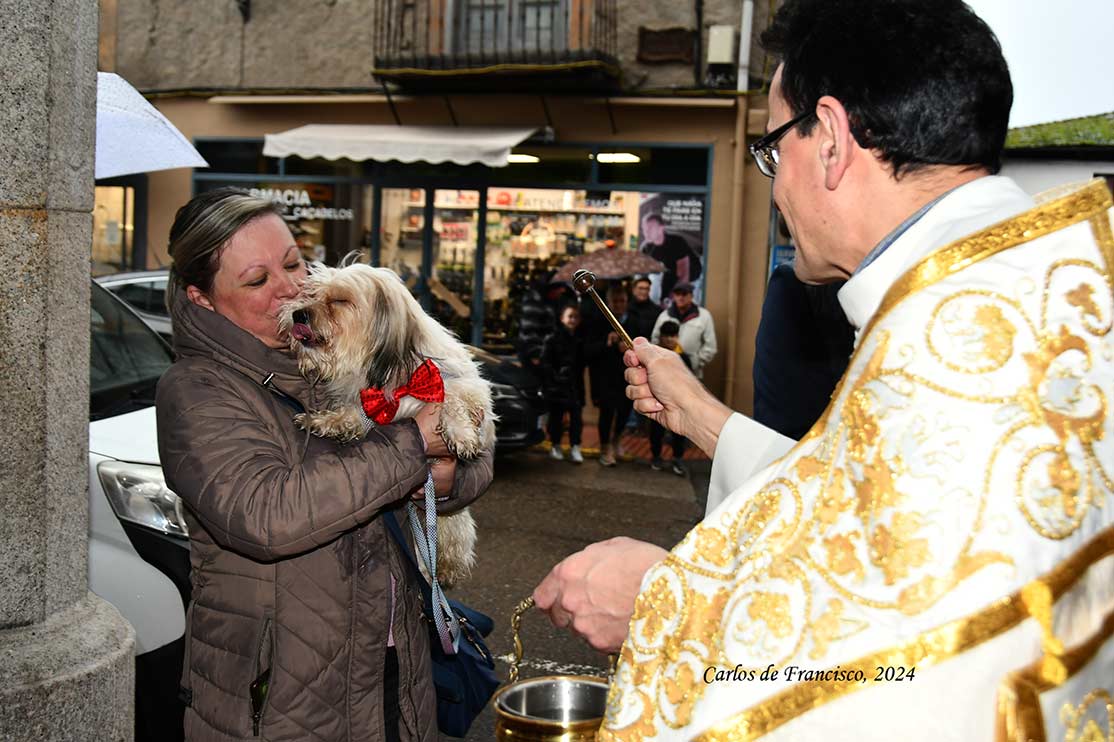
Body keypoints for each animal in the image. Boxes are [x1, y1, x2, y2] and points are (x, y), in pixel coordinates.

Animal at [276, 259, 494, 583]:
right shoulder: (367, 404)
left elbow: (452, 399)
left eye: (339, 301)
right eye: (311, 294)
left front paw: (460, 434)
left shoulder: (466, 388)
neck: (394, 376)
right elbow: (354, 414)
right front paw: (326, 421)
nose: (298, 313)